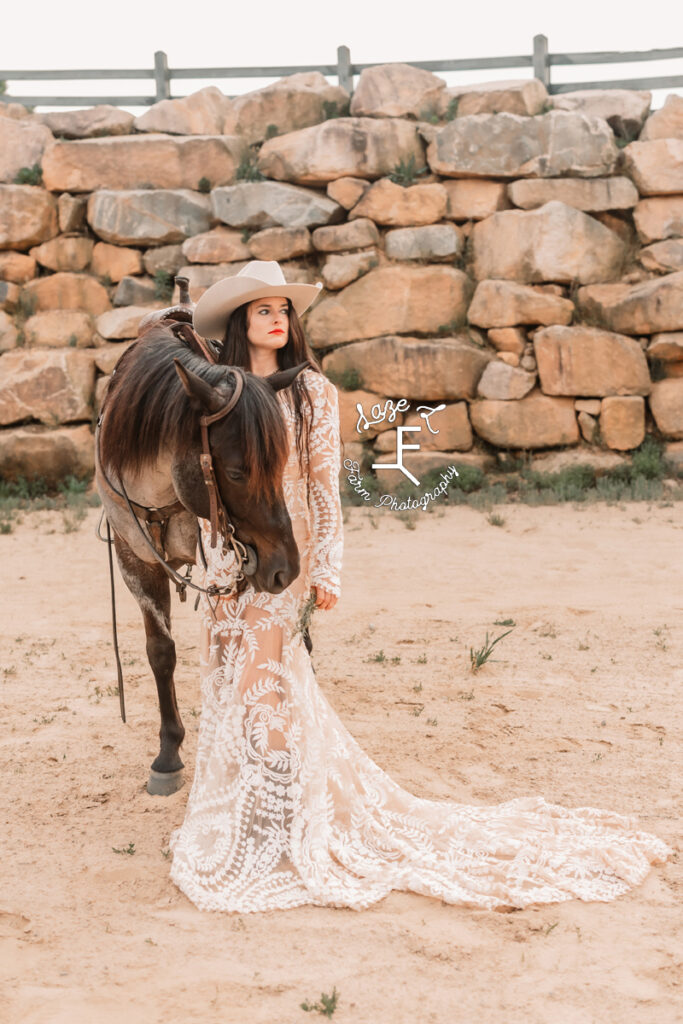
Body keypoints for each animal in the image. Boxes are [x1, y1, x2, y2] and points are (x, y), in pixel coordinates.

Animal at [94, 315, 303, 794]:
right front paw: (168, 753)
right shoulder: (136, 561)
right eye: (236, 472)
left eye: (281, 462)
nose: (285, 568)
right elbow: (160, 652)